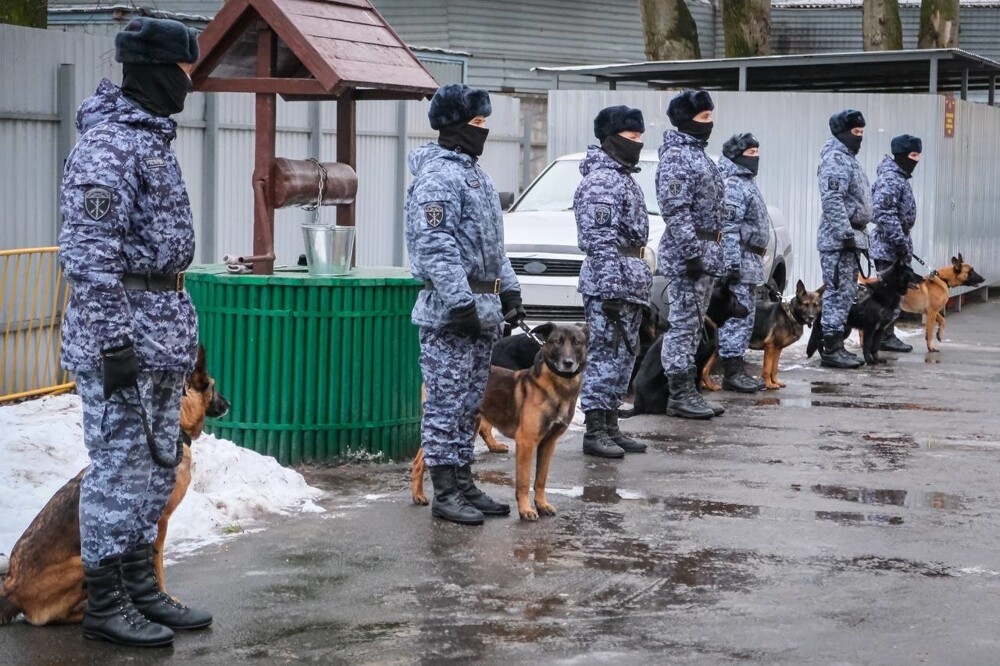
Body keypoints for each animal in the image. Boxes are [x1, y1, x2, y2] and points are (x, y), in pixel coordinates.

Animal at [0, 344, 229, 624]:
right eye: (212, 386)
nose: (228, 404)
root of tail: (10, 591)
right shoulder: (158, 523)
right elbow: (156, 567)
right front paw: (166, 601)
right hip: (80, 562)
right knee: (60, 615)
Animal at [410, 322, 588, 520]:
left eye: (577, 342)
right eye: (557, 341)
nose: (568, 363)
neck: (557, 387)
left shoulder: (548, 443)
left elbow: (541, 479)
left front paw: (542, 504)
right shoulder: (526, 442)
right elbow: (524, 480)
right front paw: (525, 509)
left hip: (470, 425)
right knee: (420, 461)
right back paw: (419, 495)